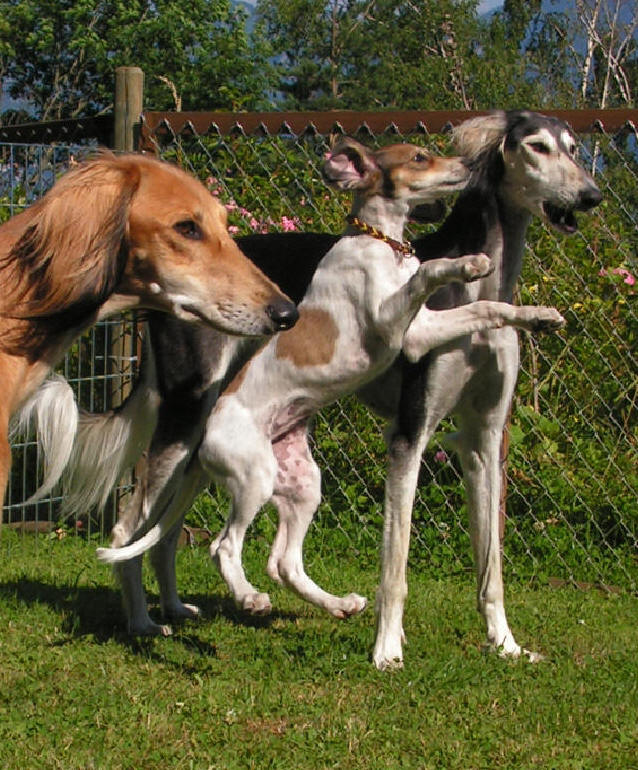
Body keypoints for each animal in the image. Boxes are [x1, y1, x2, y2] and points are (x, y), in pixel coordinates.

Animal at [87, 130, 567, 639]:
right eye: (420, 157)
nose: (470, 165)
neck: (380, 244)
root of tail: (206, 435)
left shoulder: (422, 330)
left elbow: (486, 308)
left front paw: (539, 316)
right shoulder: (398, 326)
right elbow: (429, 273)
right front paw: (468, 263)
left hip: (302, 483)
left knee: (284, 562)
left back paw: (338, 604)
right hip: (251, 473)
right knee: (223, 546)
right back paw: (243, 598)